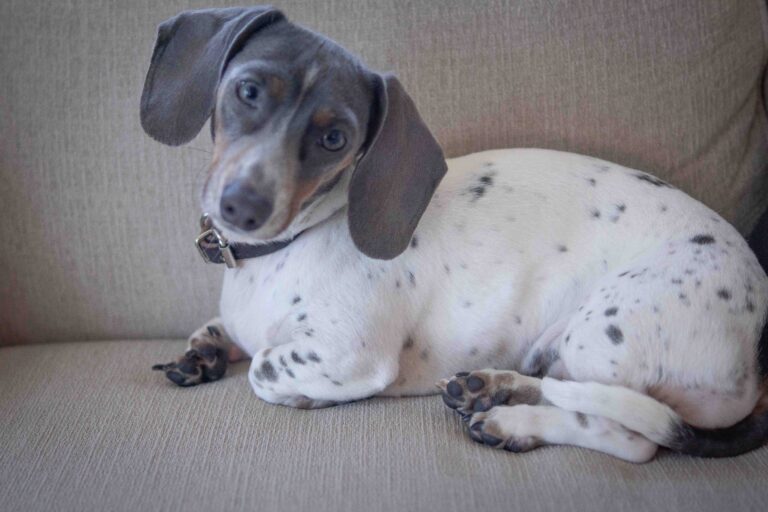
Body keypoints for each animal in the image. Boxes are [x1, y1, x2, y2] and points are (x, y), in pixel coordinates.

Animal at [142, 7, 768, 464]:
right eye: (248, 91)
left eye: (335, 138)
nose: (241, 206)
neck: (279, 251)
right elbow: (216, 330)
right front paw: (199, 356)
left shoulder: (346, 352)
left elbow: (263, 369)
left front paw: (297, 392)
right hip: (565, 346)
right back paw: (490, 386)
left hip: (602, 336)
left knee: (629, 435)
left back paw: (514, 421)